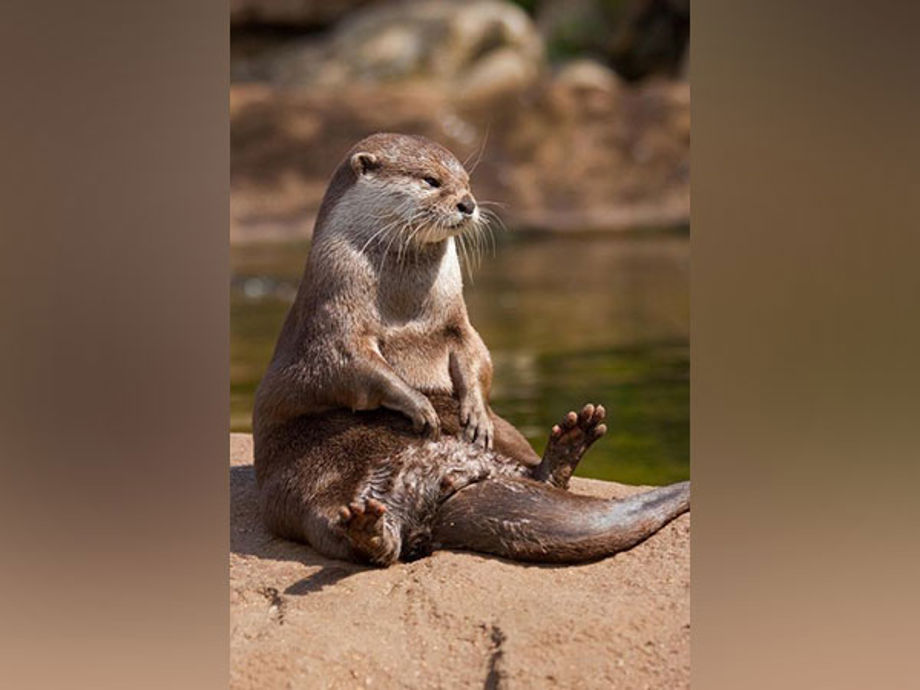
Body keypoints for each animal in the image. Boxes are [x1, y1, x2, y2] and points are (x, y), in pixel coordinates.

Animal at [253, 133, 689, 565]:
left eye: (467, 182)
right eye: (431, 181)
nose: (468, 203)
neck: (404, 306)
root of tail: (442, 484)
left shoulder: (457, 323)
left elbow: (477, 357)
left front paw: (474, 412)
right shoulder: (334, 319)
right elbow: (354, 367)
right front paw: (418, 405)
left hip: (507, 433)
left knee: (534, 473)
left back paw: (569, 442)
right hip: (311, 482)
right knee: (343, 530)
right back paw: (368, 529)